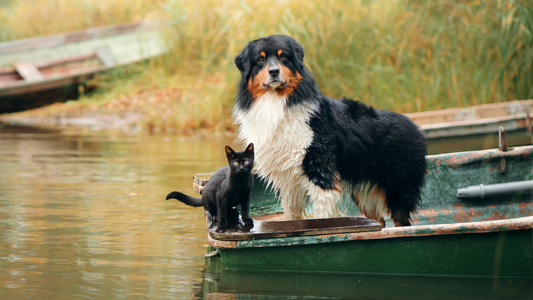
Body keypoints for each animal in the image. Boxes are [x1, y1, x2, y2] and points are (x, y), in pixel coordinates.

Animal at [231, 34, 426, 227]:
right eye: (260, 60)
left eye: (283, 57)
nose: (274, 71)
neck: (277, 100)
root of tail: (415, 127)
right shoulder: (287, 181)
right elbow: (292, 215)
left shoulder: (320, 170)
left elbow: (322, 215)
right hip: (364, 193)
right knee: (378, 222)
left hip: (399, 190)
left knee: (401, 223)